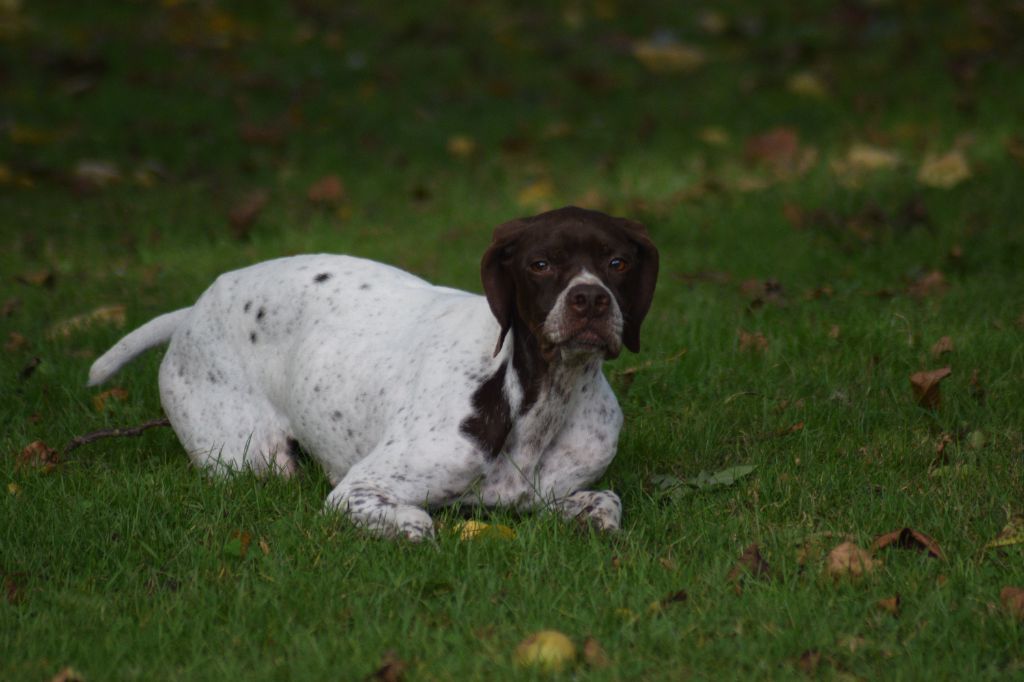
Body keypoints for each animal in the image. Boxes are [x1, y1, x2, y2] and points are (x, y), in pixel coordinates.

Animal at [92, 204, 659, 540]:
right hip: (249, 460)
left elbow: (606, 502)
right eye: (540, 264)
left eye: (617, 263)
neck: (538, 399)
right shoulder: (357, 491)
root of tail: (193, 309)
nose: (590, 300)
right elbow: (419, 521)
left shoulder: (554, 495)